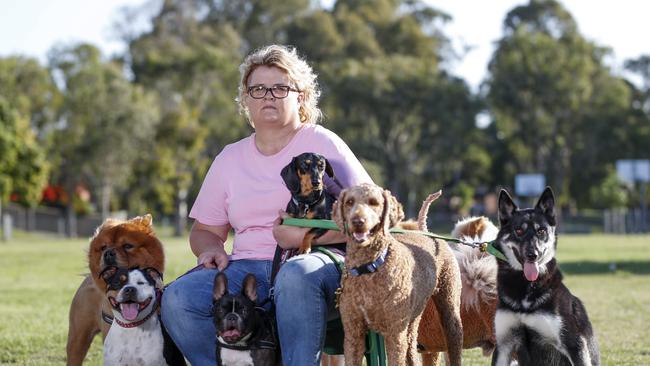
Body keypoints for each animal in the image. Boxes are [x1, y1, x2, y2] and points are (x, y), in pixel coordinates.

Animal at [332, 184, 464, 366]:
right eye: (349, 202)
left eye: (374, 202)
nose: (358, 222)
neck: (370, 267)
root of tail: (426, 232)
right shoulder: (353, 332)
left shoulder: (394, 332)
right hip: (413, 318)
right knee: (411, 348)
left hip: (449, 302)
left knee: (454, 341)